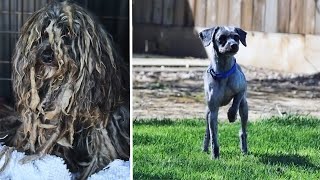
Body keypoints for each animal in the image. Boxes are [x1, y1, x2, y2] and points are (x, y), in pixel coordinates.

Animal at [199, 26, 249, 158]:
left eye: (236, 37)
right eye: (221, 38)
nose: (234, 45)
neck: (223, 72)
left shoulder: (241, 89)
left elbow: (235, 102)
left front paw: (231, 115)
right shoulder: (213, 111)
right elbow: (214, 137)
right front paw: (215, 155)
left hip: (245, 108)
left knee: (243, 132)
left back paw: (244, 149)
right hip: (207, 113)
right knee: (208, 133)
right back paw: (204, 148)